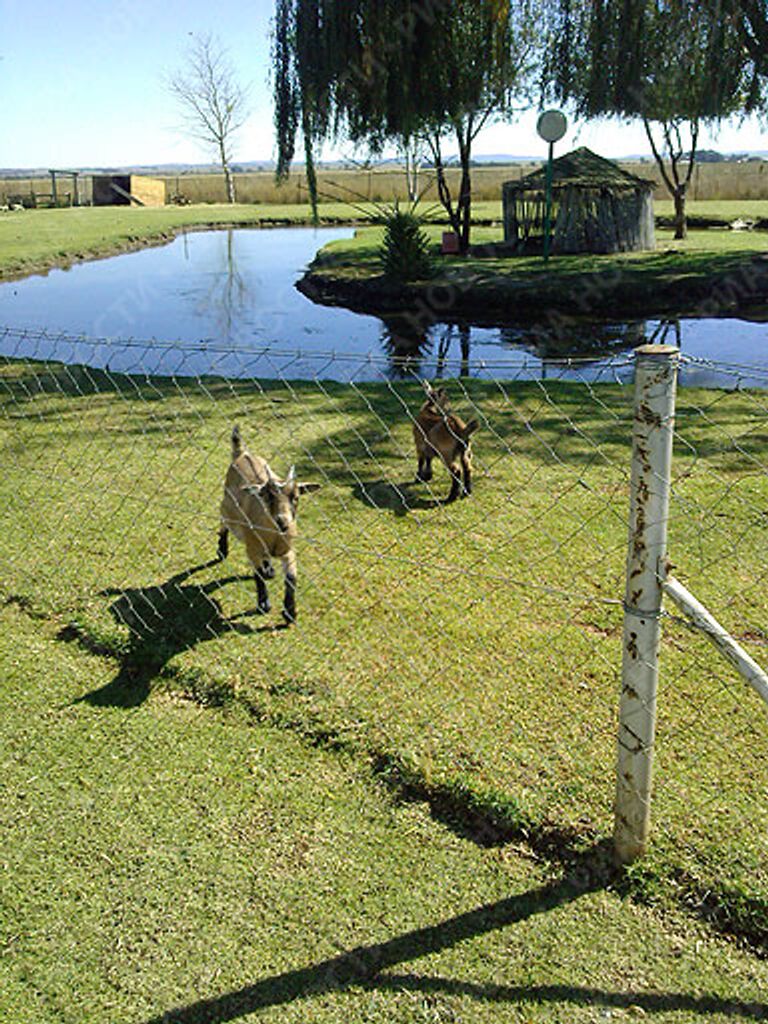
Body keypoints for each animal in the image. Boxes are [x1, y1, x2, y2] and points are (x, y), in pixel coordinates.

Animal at [218, 423, 317, 622]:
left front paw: (290, 612)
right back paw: (222, 550)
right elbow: (258, 575)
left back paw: (269, 568)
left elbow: (291, 578)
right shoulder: (252, 549)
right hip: (226, 507)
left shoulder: (288, 551)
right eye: (268, 496)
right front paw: (263, 604)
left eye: (296, 497)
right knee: (223, 523)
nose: (283, 521)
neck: (274, 536)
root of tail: (242, 454)